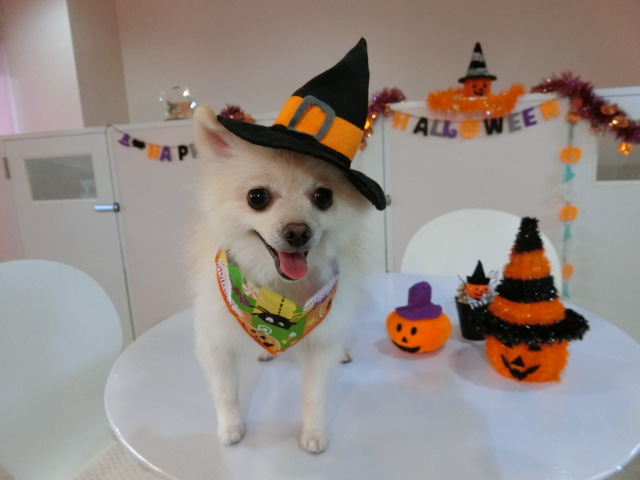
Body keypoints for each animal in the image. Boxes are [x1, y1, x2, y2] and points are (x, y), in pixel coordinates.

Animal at [189, 38, 386, 454]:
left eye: (324, 197)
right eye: (257, 197)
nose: (298, 231)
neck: (277, 290)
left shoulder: (321, 342)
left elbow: (315, 392)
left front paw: (314, 433)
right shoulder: (213, 339)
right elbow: (224, 391)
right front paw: (231, 428)